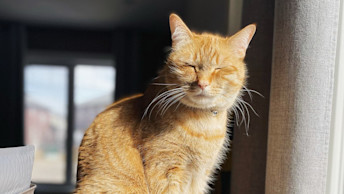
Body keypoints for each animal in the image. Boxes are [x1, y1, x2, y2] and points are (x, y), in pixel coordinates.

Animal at [75, 14, 254, 194]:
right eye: (191, 66)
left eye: (219, 69)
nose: (203, 84)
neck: (203, 127)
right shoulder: (164, 171)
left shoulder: (200, 177)